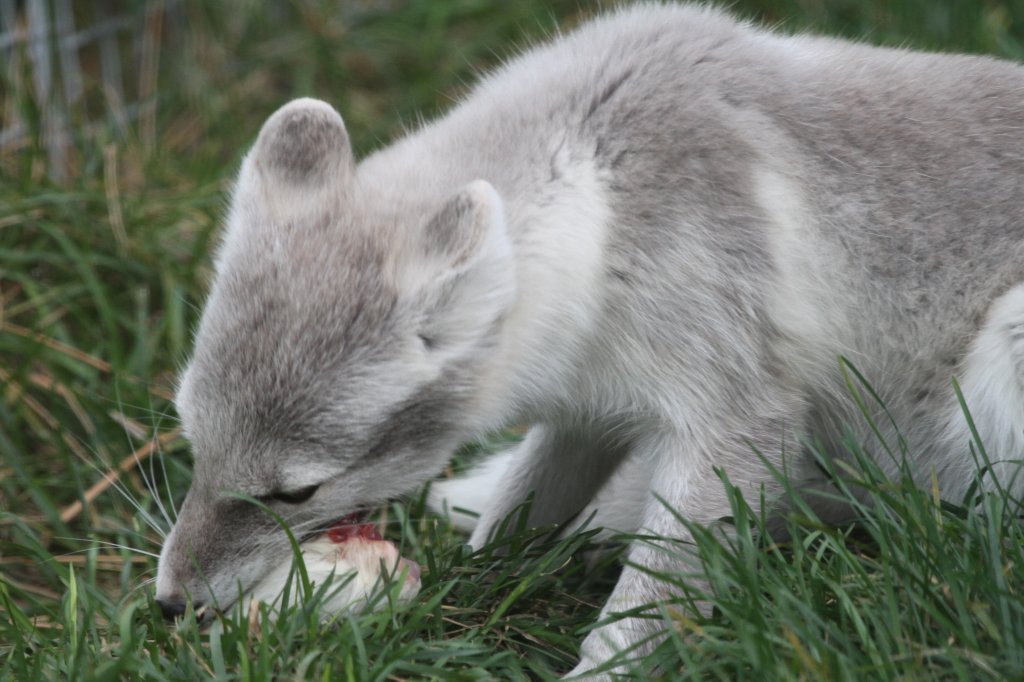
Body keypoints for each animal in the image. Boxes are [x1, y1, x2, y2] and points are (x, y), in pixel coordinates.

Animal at [155, 3, 1024, 675]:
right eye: (191, 437)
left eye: (296, 493)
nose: (167, 605)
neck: (604, 190)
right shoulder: (585, 411)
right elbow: (518, 518)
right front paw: (465, 600)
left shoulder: (738, 417)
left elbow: (644, 607)